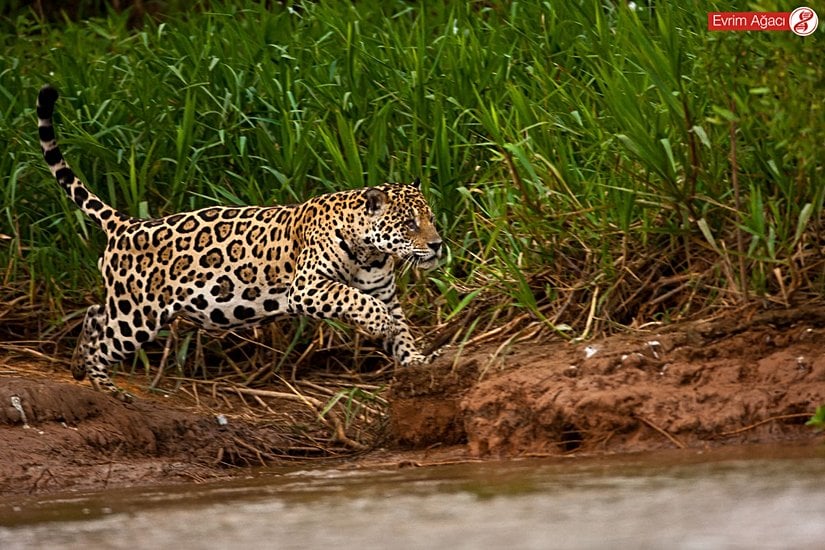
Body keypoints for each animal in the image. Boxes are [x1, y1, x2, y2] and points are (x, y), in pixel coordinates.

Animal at [37, 85, 443, 402]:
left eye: (432, 219)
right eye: (409, 224)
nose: (438, 245)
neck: (371, 253)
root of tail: (126, 223)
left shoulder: (384, 291)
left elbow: (401, 330)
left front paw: (418, 363)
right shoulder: (306, 286)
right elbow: (354, 298)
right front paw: (378, 324)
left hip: (129, 306)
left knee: (95, 313)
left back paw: (78, 365)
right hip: (139, 313)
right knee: (104, 338)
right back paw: (105, 387)